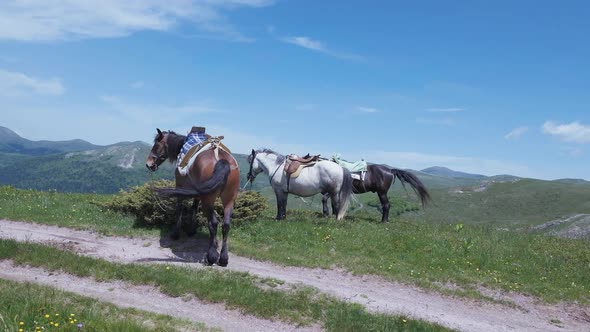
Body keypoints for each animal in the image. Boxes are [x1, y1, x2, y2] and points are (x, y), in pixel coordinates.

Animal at [146, 128, 240, 266]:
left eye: (157, 145)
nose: (149, 164)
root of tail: (222, 161)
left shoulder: (180, 184)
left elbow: (180, 206)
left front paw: (175, 233)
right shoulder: (198, 190)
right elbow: (194, 206)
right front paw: (191, 230)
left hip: (208, 200)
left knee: (213, 223)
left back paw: (211, 256)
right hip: (229, 200)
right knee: (226, 224)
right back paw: (223, 258)